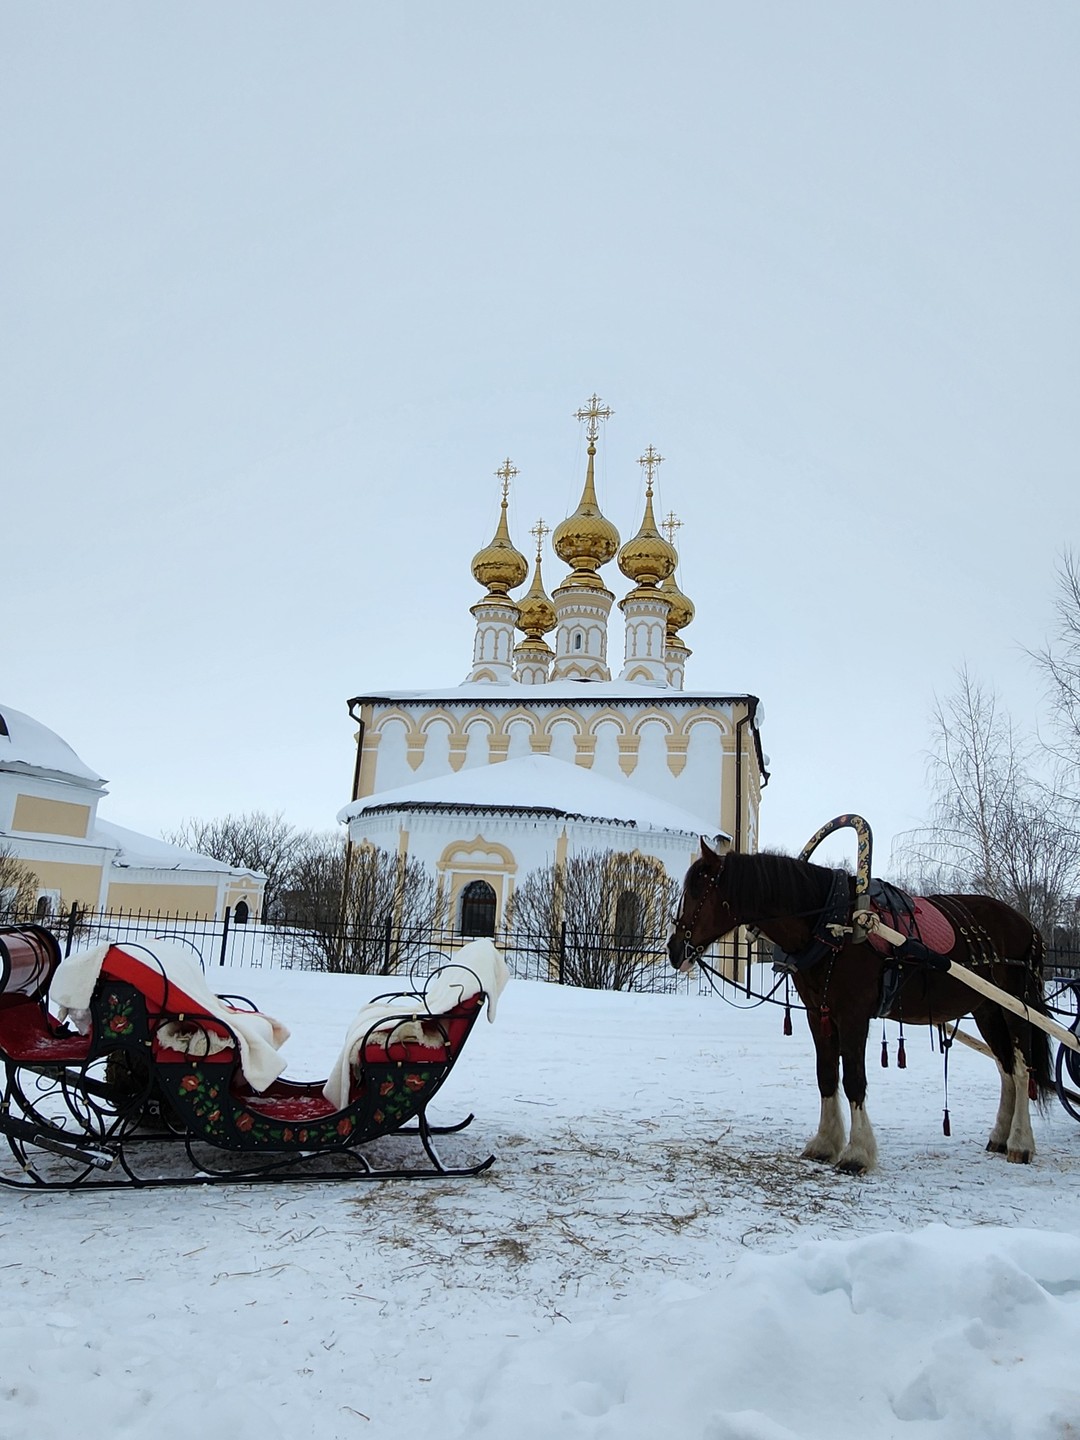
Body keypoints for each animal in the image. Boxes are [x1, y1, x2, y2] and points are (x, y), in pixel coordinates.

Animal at [673, 840, 1054, 1169]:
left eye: (697, 893)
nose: (674, 950)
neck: (830, 922)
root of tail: (1027, 925)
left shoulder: (853, 1014)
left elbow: (854, 1079)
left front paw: (856, 1153)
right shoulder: (819, 1013)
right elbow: (826, 1076)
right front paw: (825, 1143)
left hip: (1015, 1009)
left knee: (1022, 1071)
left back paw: (1020, 1143)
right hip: (987, 1009)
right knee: (1006, 1069)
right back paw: (1000, 1137)